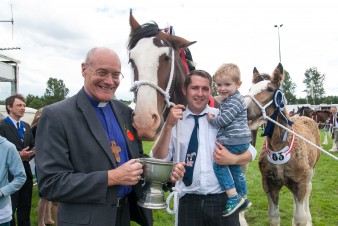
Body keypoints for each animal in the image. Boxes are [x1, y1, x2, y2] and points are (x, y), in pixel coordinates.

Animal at [244, 62, 320, 225]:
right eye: (250, 90)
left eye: (270, 89)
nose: (242, 109)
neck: (280, 146)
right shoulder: (270, 184)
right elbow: (274, 216)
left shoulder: (300, 183)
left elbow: (300, 218)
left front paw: (304, 219)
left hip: (311, 171)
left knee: (309, 190)